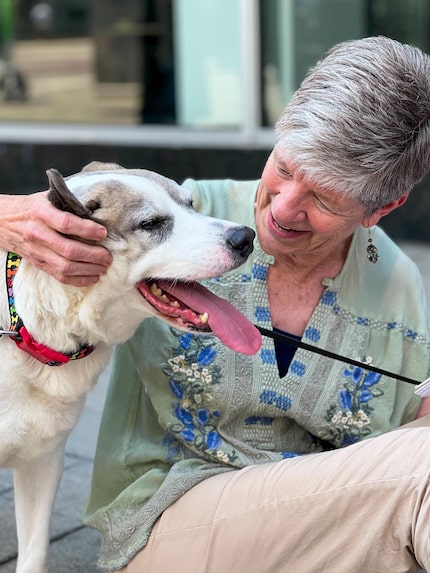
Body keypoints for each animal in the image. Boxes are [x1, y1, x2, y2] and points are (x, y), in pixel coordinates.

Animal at [0, 161, 262, 572]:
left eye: (190, 204)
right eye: (151, 223)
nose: (245, 237)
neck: (25, 322)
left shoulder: (42, 461)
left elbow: (34, 553)